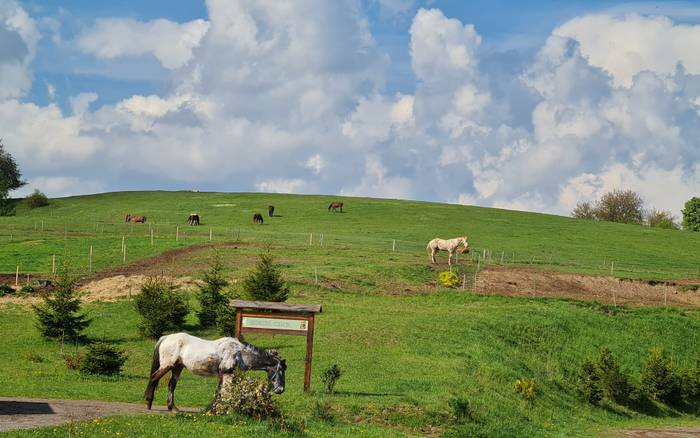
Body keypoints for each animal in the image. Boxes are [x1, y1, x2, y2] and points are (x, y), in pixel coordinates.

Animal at [145, 334, 288, 412]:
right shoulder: (227, 375)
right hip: (167, 365)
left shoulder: (222, 375)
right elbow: (225, 394)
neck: (239, 353)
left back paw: (173, 408)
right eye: (280, 370)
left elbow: (218, 393)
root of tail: (166, 337)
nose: (280, 389)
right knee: (153, 378)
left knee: (171, 385)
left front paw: (214, 409)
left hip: (177, 367)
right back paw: (149, 402)